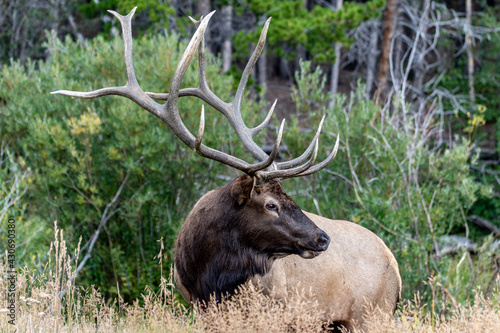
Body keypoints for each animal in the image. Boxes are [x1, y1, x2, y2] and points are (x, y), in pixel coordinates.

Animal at [51, 7, 402, 330]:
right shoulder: (199, 307)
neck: (209, 276)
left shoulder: (273, 313)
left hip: (372, 315)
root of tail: (395, 265)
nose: (322, 239)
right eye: (271, 204)